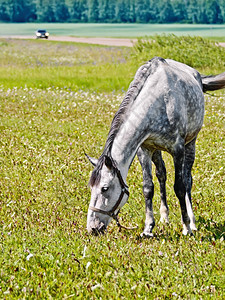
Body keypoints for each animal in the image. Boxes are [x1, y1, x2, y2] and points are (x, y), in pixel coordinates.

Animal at [85, 56, 225, 237]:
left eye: (104, 188)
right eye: (91, 187)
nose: (93, 228)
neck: (157, 102)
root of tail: (197, 75)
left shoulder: (177, 149)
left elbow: (180, 187)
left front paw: (186, 227)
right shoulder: (144, 150)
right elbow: (148, 188)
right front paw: (148, 228)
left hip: (190, 144)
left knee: (187, 180)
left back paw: (193, 222)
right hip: (156, 150)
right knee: (161, 174)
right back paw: (164, 217)